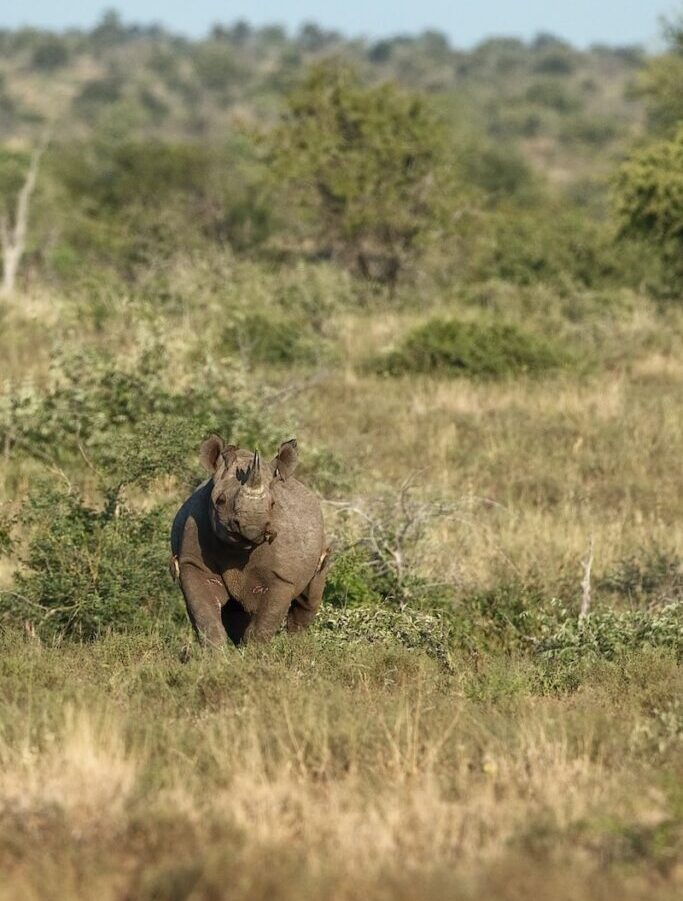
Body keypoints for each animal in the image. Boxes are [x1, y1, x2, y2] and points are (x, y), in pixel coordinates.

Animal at [170, 435, 331, 646]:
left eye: (273, 504)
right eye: (220, 501)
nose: (253, 526)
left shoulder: (282, 577)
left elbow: (265, 620)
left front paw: (254, 651)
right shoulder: (192, 563)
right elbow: (204, 612)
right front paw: (216, 653)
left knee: (309, 598)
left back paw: (296, 645)